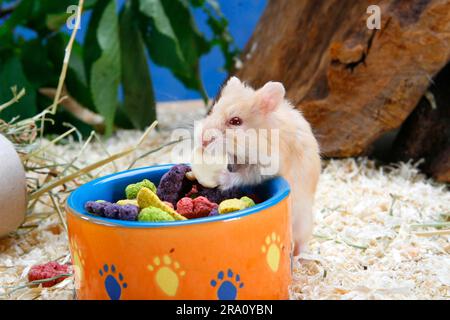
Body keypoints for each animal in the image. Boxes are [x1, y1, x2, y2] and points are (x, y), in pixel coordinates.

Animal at [200, 76, 320, 254]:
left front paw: (220, 176)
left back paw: (300, 257)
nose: (202, 141)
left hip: (303, 221)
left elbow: (243, 175)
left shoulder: (266, 166)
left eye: (235, 121)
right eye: (212, 111)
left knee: (302, 242)